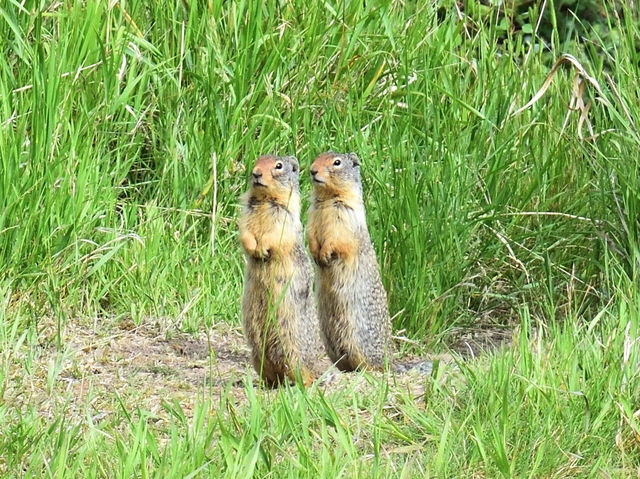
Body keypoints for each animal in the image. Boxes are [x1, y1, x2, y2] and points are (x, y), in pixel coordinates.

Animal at [239, 156, 324, 388]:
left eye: (278, 166)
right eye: (257, 160)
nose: (256, 173)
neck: (264, 200)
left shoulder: (284, 217)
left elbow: (275, 235)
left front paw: (262, 249)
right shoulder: (246, 214)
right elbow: (245, 232)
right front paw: (253, 248)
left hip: (292, 347)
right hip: (257, 355)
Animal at [308, 150, 392, 372]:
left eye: (337, 162)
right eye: (317, 157)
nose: (312, 170)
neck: (327, 199)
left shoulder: (345, 217)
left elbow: (337, 239)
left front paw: (324, 254)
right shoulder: (312, 215)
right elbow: (310, 235)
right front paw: (315, 253)